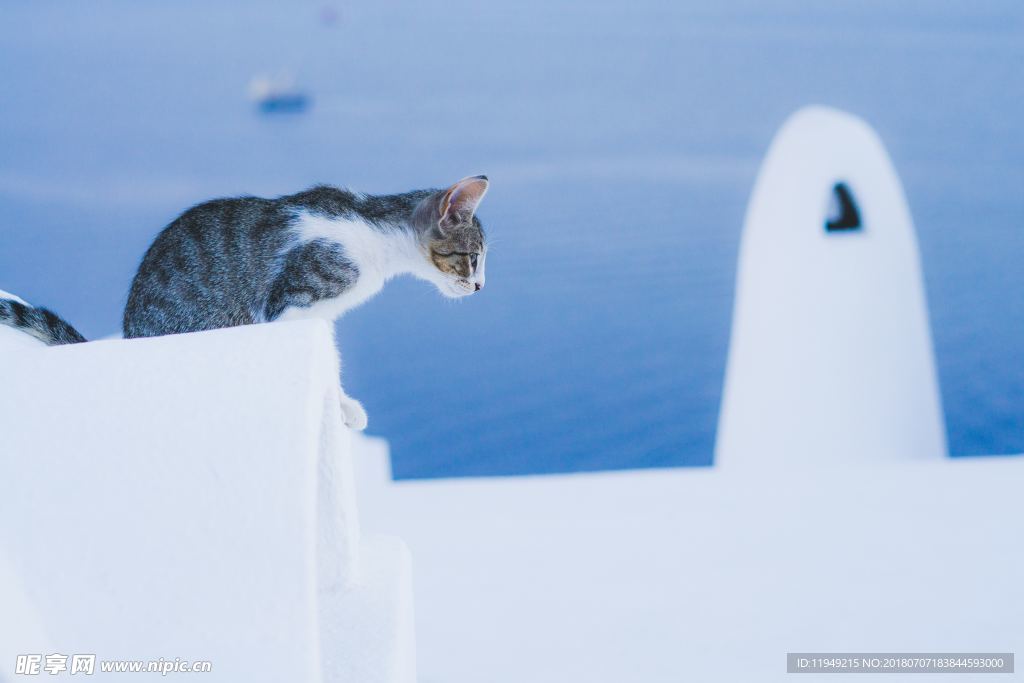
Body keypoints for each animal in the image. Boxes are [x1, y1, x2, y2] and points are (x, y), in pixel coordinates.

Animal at [0, 176, 489, 432]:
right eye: (473, 257)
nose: (481, 287)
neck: (372, 230)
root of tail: (131, 334)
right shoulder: (294, 303)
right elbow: (325, 360)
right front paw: (341, 405)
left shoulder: (318, 316)